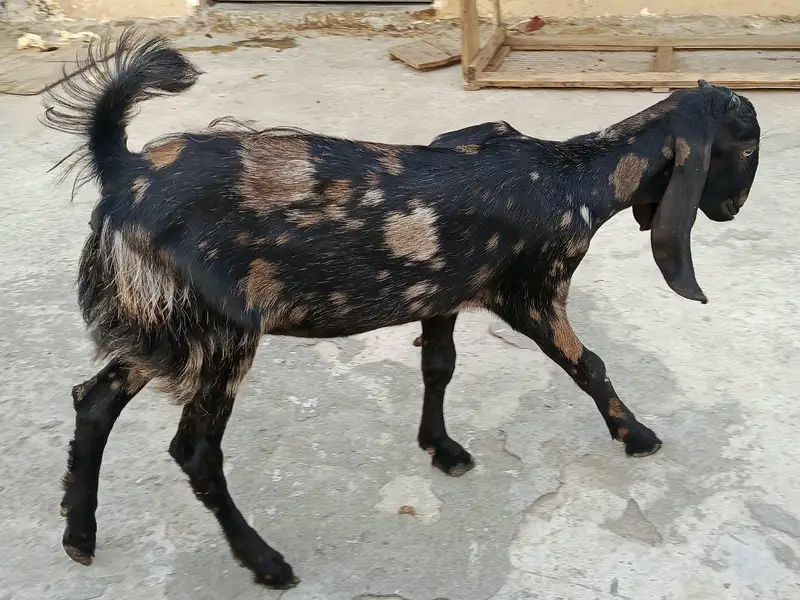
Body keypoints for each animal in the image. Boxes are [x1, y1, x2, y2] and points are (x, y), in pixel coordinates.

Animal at [43, 29, 761, 589]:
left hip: (160, 323)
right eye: (748, 144)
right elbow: (591, 367)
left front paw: (441, 447)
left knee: (94, 399)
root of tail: (124, 170)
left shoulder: (443, 291)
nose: (730, 210)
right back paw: (264, 561)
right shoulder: (532, 293)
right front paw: (635, 434)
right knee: (193, 449)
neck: (571, 176)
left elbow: (438, 366)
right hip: (221, 333)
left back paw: (79, 535)